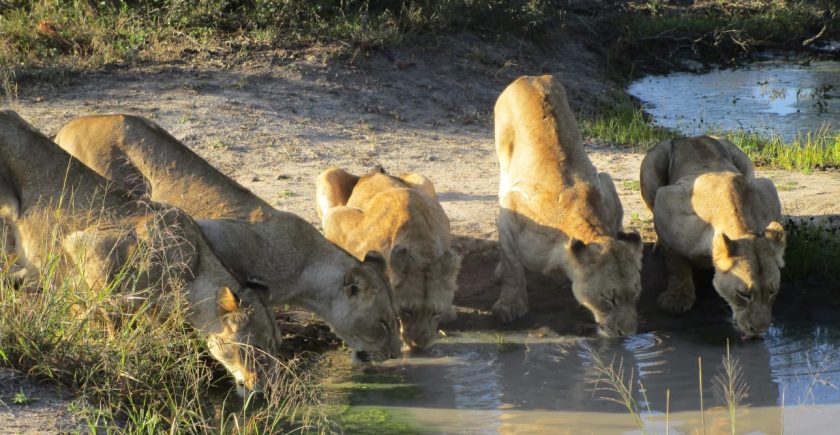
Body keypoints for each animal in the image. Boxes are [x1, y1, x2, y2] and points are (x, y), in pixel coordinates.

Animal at [0, 110, 282, 396]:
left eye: (274, 348)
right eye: (258, 350)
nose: (266, 389)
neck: (194, 269)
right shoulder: (87, 244)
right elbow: (105, 315)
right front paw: (108, 349)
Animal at [316, 167, 462, 350]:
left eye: (436, 313)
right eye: (407, 311)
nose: (419, 344)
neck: (420, 243)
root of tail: (373, 173)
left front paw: (450, 312)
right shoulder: (335, 219)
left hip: (423, 179)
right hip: (328, 174)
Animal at [492, 77, 644, 338]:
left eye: (635, 294)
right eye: (608, 298)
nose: (628, 333)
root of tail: (531, 77)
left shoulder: (606, 186)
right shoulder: (511, 210)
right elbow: (512, 265)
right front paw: (510, 305)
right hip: (504, 162)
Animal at [644, 135, 788, 338]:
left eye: (773, 292)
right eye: (743, 294)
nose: (759, 330)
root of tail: (690, 137)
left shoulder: (768, 189)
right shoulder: (666, 201)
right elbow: (676, 261)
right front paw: (677, 299)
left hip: (742, 158)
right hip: (654, 162)